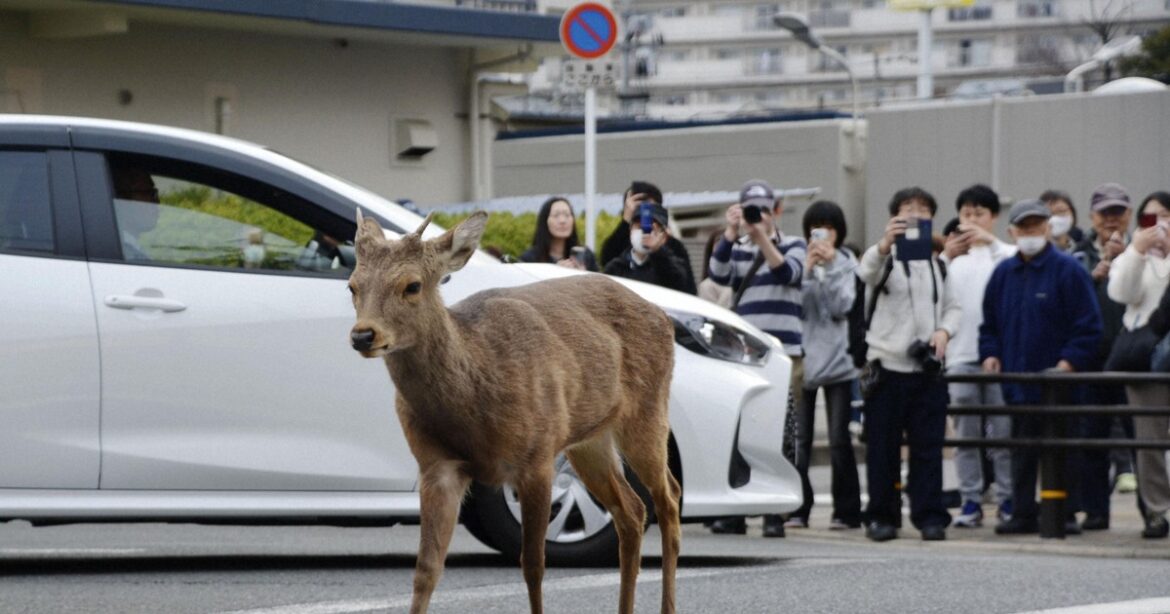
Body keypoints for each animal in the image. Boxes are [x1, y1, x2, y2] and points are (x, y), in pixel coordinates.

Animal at [346, 210, 681, 614]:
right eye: (352, 286)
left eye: (412, 285)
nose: (363, 335)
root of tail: (664, 317)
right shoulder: (436, 466)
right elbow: (426, 569)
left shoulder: (536, 458)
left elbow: (533, 565)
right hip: (589, 440)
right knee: (631, 510)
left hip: (648, 410)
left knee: (669, 497)